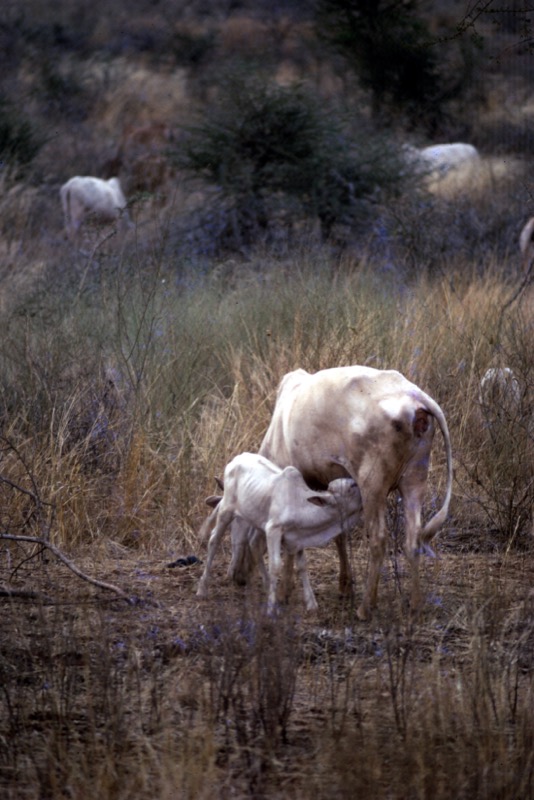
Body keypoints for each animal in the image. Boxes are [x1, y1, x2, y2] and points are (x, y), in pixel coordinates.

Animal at [197, 450, 364, 612]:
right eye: (351, 487)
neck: (300, 504)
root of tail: (238, 458)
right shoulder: (273, 529)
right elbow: (275, 566)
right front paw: (271, 609)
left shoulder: (297, 539)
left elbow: (302, 565)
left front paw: (311, 604)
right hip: (226, 510)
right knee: (214, 540)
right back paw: (202, 589)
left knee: (253, 544)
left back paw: (266, 585)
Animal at [228, 366, 454, 620]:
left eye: (235, 527)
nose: (237, 577)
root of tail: (415, 395)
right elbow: (340, 534)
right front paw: (344, 585)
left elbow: (292, 544)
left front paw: (285, 591)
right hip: (415, 477)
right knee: (413, 538)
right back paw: (415, 604)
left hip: (372, 484)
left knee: (379, 540)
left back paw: (366, 607)